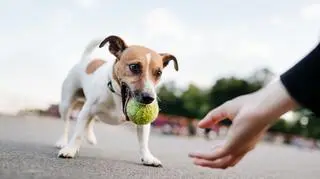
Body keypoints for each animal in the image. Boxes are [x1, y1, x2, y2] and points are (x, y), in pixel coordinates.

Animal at [55, 34, 179, 166]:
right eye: (134, 67)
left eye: (159, 73)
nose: (149, 98)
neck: (118, 96)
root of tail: (86, 59)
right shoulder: (86, 111)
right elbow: (77, 134)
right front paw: (70, 149)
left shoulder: (143, 124)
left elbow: (144, 142)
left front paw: (147, 157)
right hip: (66, 104)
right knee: (66, 124)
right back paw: (62, 142)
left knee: (90, 121)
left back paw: (90, 137)